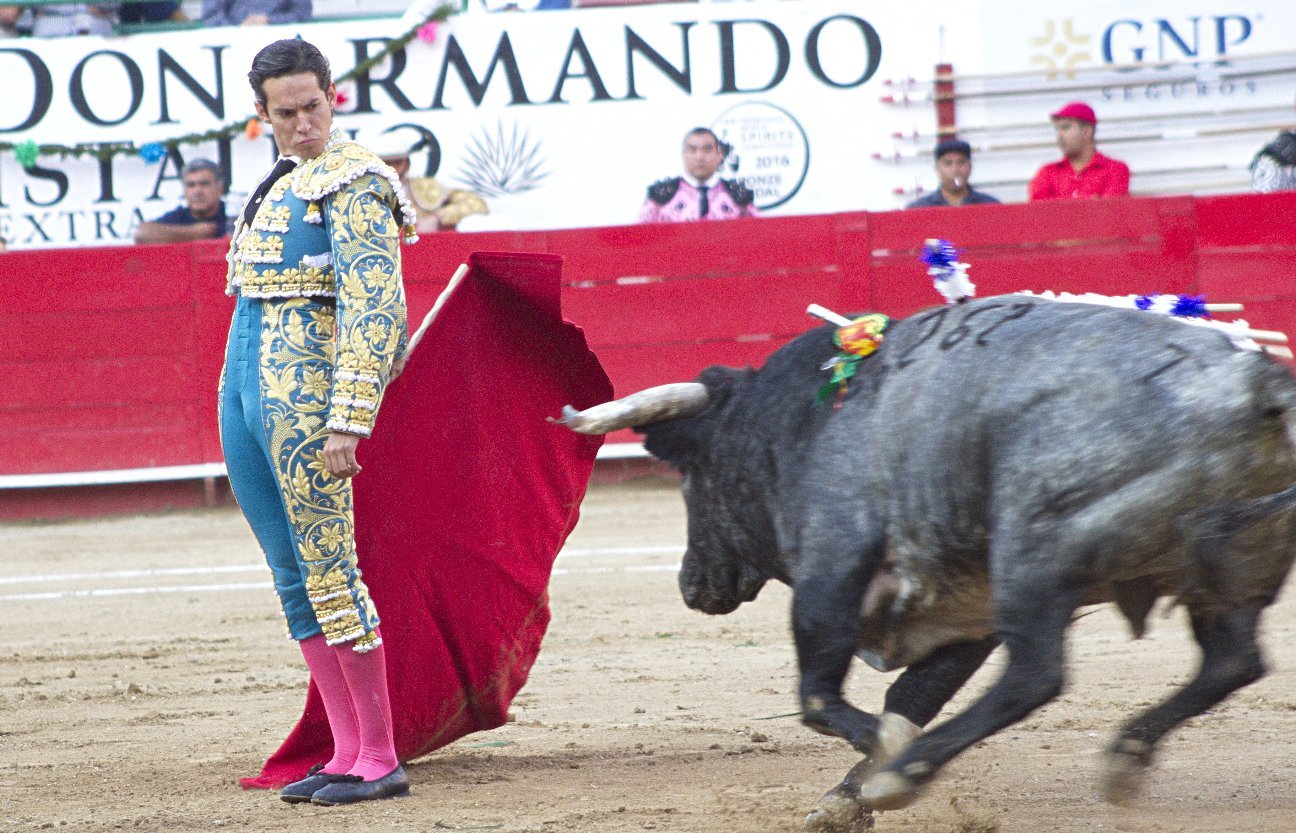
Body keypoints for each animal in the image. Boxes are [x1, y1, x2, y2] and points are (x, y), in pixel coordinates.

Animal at [556, 295, 1296, 830]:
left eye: (692, 475)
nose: (691, 584)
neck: (792, 422)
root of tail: (1252, 380)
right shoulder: (964, 608)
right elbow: (910, 695)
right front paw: (845, 797)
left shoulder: (833, 562)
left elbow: (822, 695)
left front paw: (881, 762)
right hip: (1228, 570)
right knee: (1233, 661)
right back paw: (1126, 755)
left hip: (1035, 552)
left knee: (1036, 674)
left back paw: (906, 775)